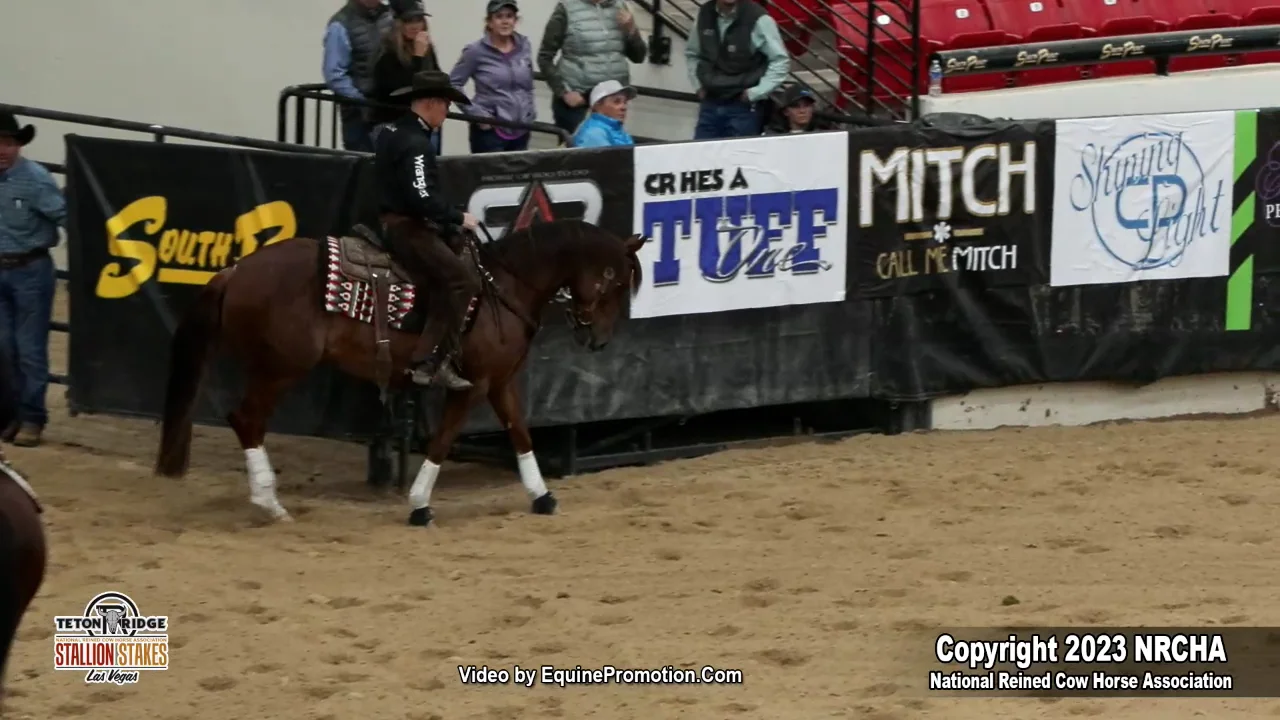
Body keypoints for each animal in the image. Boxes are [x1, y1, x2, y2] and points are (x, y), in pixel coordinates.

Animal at [154, 215, 645, 525]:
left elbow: (521, 434)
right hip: (280, 368)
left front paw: (542, 497)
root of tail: (235, 271)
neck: (502, 288)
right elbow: (443, 440)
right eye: (617, 282)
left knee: (246, 420)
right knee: (247, 420)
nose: (599, 340)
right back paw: (270, 503)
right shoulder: (470, 385)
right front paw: (419, 504)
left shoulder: (501, 382)